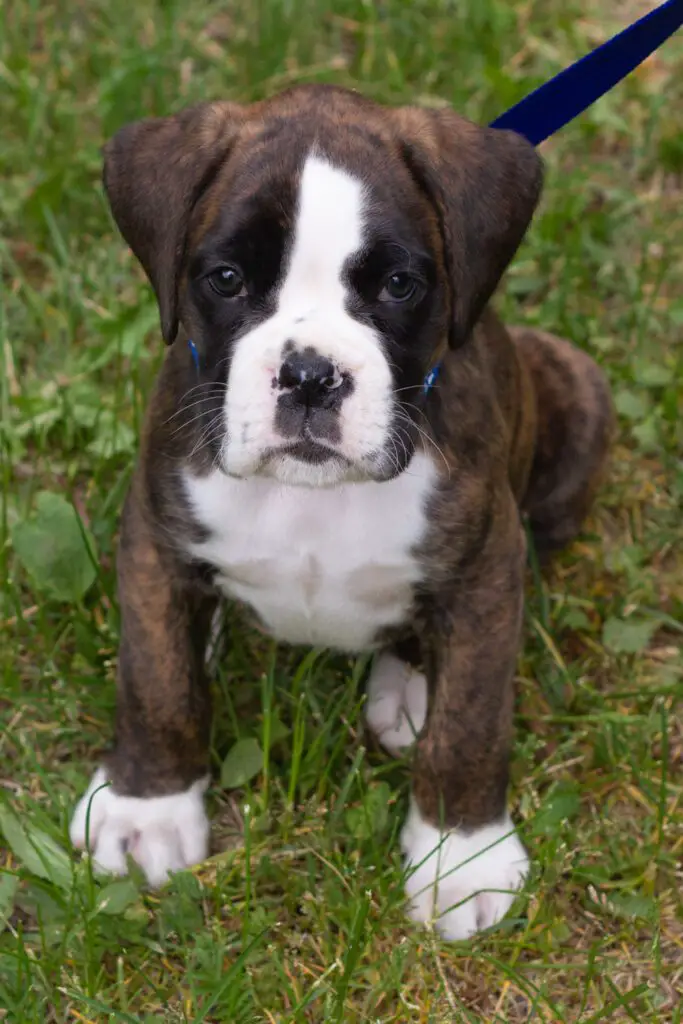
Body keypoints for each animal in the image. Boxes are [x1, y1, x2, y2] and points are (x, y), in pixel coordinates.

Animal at [70, 83, 614, 937]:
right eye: (226, 278)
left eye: (397, 285)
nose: (308, 375)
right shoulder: (155, 540)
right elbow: (156, 679)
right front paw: (146, 809)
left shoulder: (488, 568)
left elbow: (471, 719)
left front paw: (462, 857)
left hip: (577, 399)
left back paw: (410, 689)